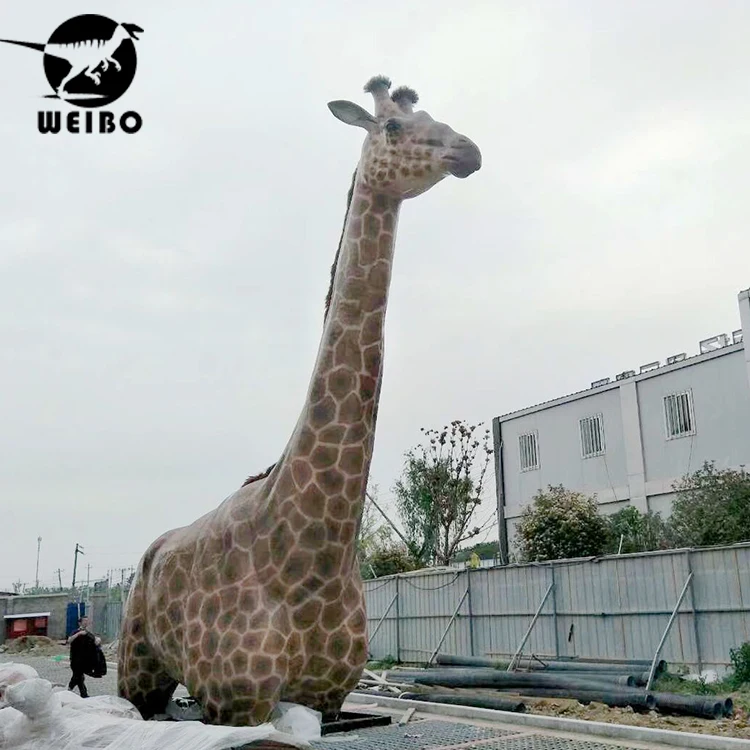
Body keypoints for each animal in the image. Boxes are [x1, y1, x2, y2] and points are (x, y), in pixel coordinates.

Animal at [117, 75, 481, 727]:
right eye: (393, 126)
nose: (468, 150)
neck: (313, 552)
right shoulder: (236, 703)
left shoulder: (327, 700)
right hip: (138, 676)